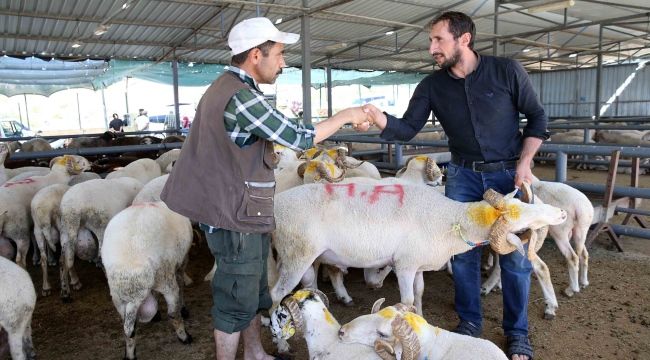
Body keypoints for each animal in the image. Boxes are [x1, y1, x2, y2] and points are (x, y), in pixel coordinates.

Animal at [100, 201, 192, 358]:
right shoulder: (180, 264)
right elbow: (180, 290)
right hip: (166, 278)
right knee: (173, 313)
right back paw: (184, 337)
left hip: (118, 298)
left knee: (128, 330)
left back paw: (130, 356)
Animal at [270, 181, 564, 314]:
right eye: (521, 218)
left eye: (523, 204)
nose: (560, 213)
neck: (451, 219)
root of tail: (276, 205)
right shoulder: (405, 265)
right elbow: (407, 300)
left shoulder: (420, 264)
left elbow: (420, 293)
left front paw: (421, 318)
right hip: (296, 253)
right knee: (277, 293)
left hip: (304, 256)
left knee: (308, 286)